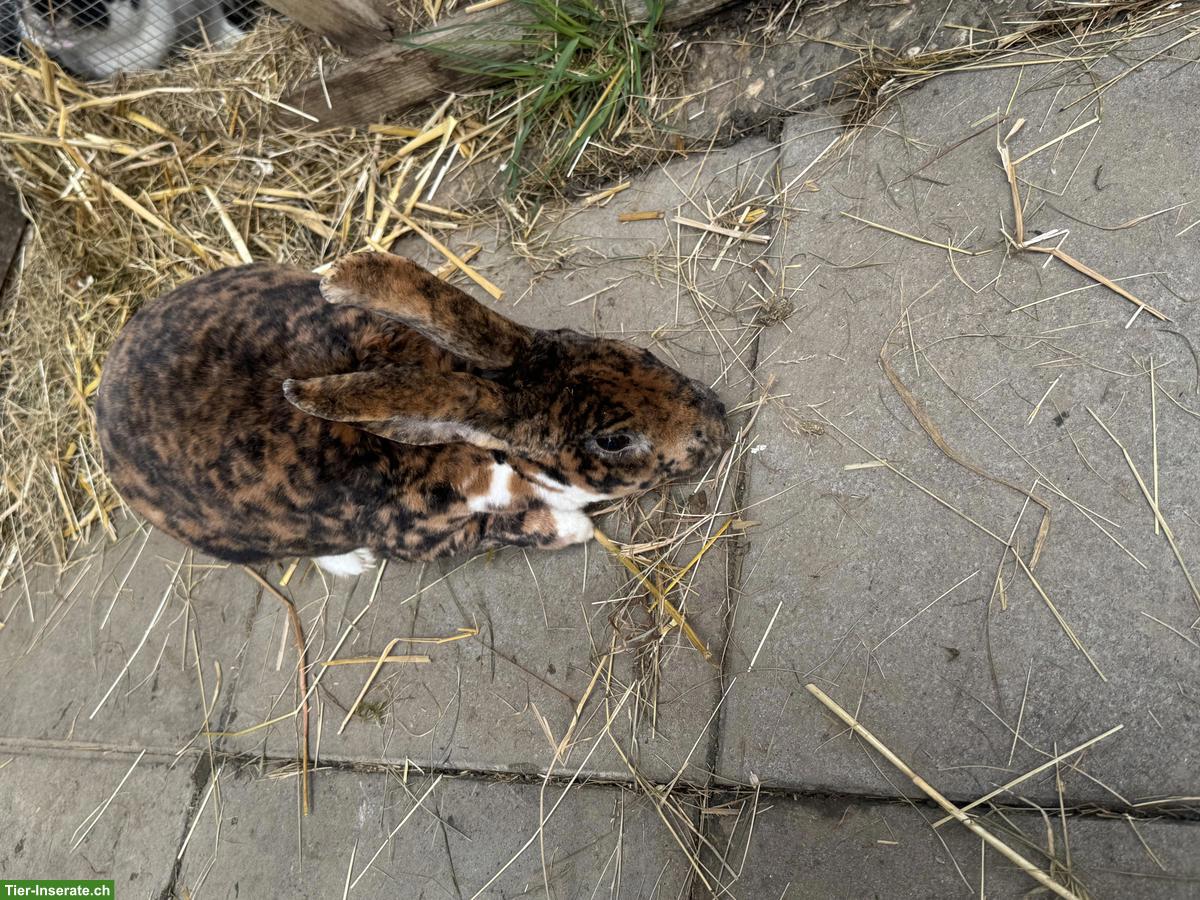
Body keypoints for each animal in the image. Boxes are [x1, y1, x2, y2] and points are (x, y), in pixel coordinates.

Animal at [96, 253, 731, 576]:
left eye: (640, 356)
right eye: (613, 441)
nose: (720, 423)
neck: (490, 449)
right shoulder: (430, 532)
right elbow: (517, 526)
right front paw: (575, 529)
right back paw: (351, 561)